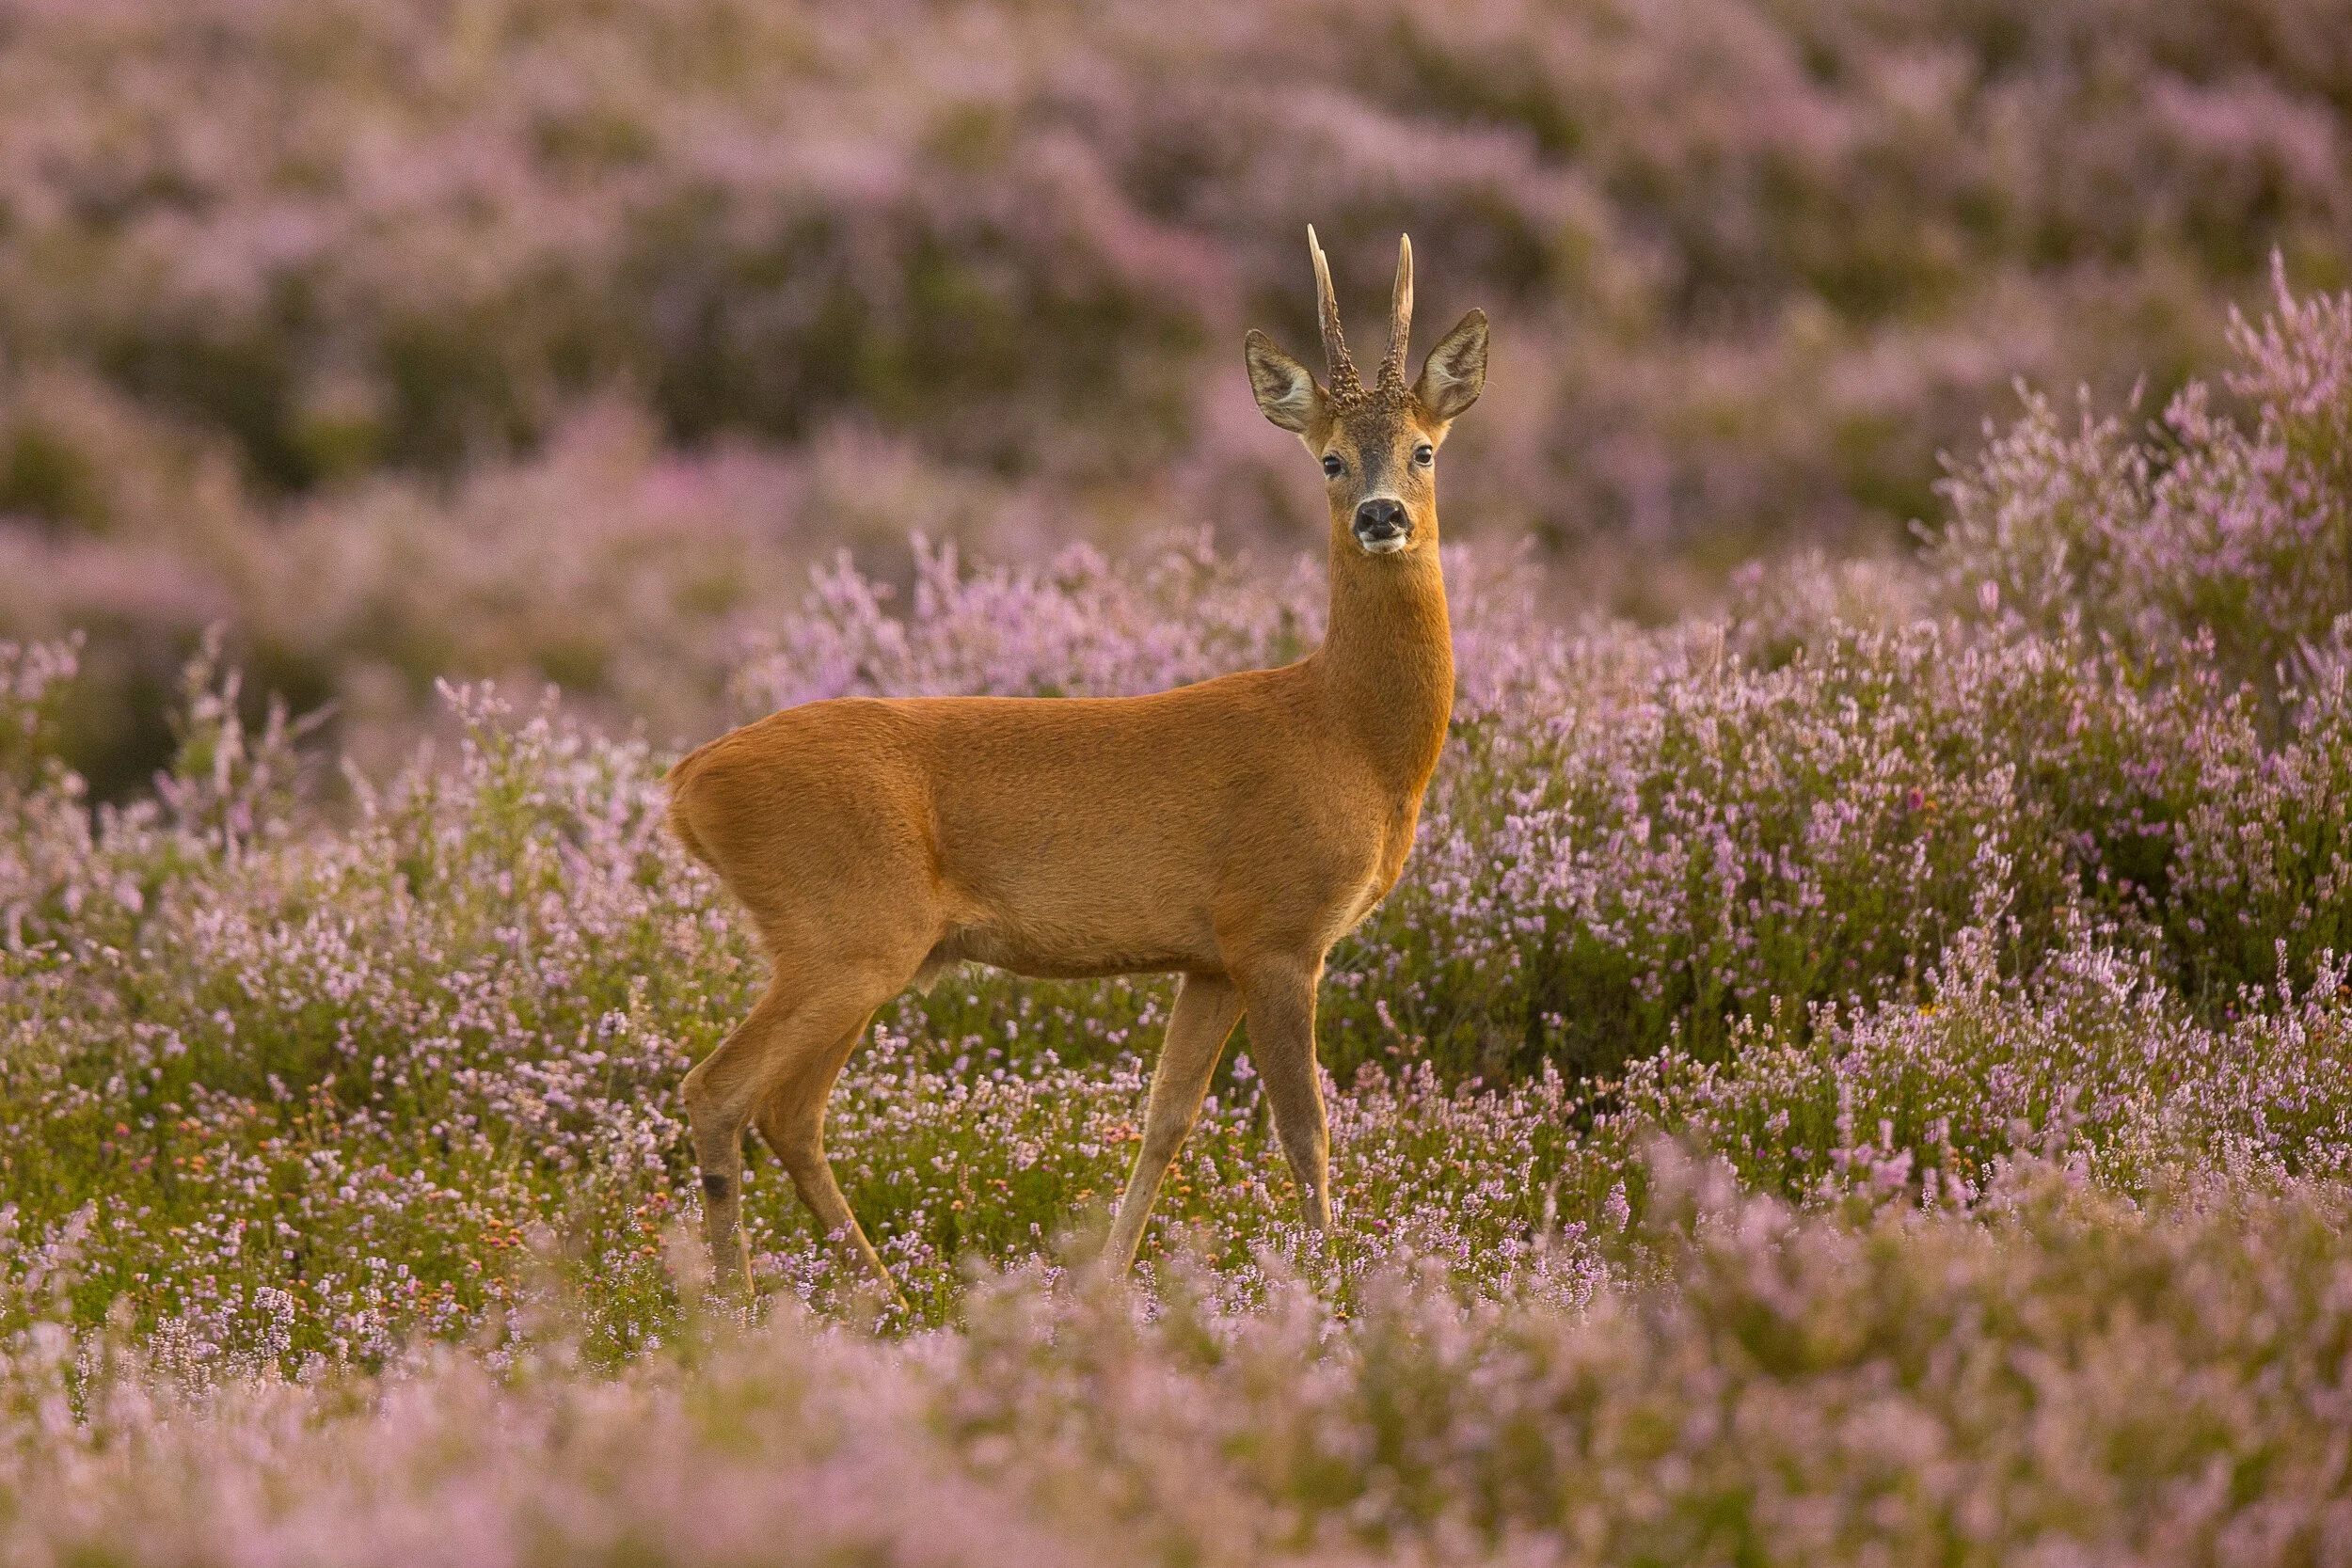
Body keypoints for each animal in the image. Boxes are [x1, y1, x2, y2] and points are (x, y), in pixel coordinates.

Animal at [666, 228, 1488, 1304]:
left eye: (1426, 448)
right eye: (1330, 458)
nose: (1383, 515)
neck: (1350, 735)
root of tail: (688, 781)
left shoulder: (1208, 955)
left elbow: (1165, 1121)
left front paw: (1107, 1280)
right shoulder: (1278, 929)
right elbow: (1304, 1130)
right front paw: (1333, 1285)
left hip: (853, 946)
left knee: (787, 1109)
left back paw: (889, 1296)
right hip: (843, 927)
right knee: (717, 1090)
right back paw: (737, 1306)